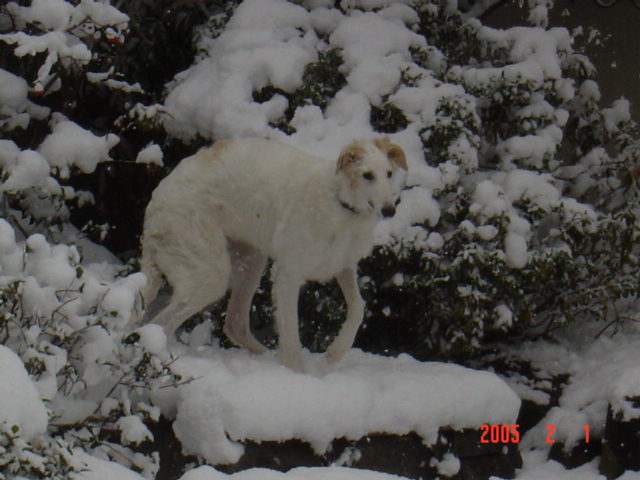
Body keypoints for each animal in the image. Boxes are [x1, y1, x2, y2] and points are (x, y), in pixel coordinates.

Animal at [140, 137, 408, 374]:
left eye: (389, 173)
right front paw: (299, 377)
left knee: (235, 323)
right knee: (159, 324)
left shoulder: (344, 265)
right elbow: (291, 337)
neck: (339, 203)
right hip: (209, 274)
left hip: (251, 261)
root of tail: (155, 206)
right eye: (367, 175)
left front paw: (334, 353)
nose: (390, 210)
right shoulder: (288, 276)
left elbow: (358, 308)